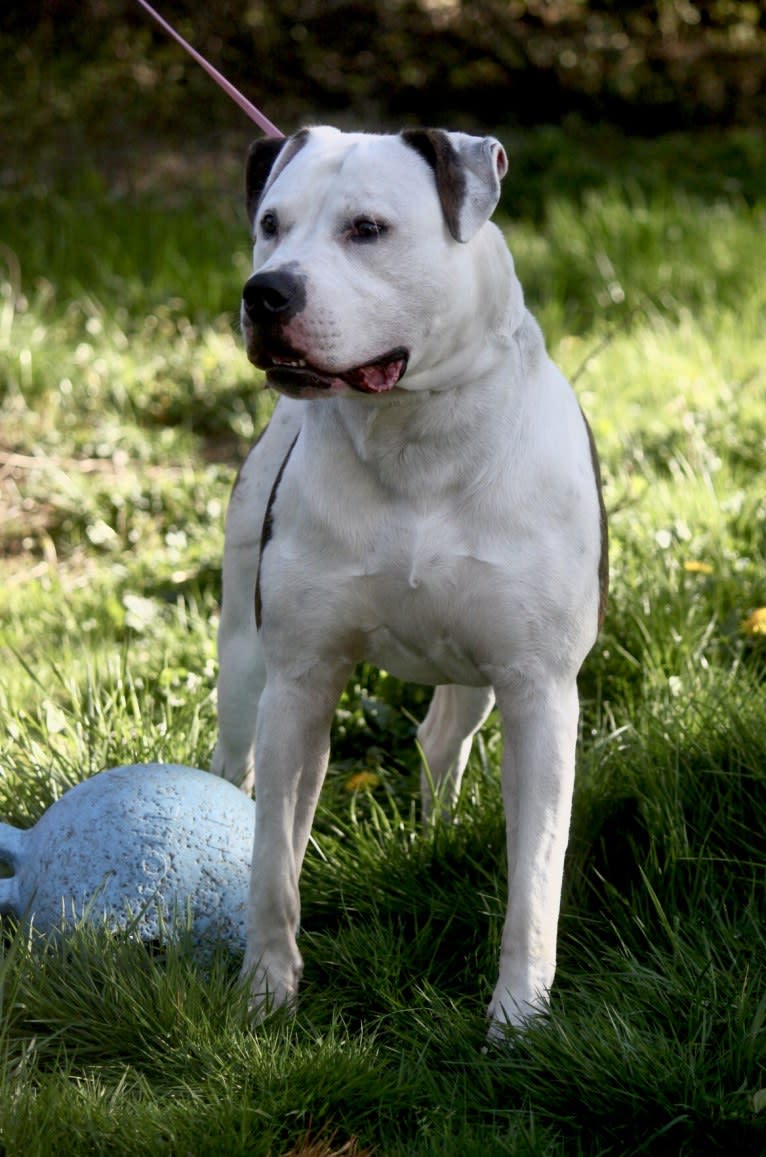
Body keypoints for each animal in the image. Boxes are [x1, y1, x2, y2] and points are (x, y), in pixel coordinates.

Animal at [212, 129, 610, 1041]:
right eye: (270, 224)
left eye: (368, 228)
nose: (266, 292)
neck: (417, 438)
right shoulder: (300, 681)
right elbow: (272, 863)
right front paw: (265, 994)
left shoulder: (539, 689)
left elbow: (535, 877)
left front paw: (517, 1018)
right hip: (244, 658)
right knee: (235, 762)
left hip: (480, 675)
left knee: (441, 738)